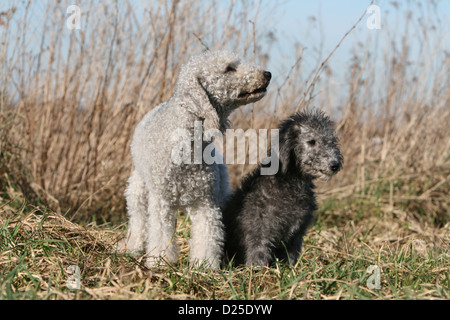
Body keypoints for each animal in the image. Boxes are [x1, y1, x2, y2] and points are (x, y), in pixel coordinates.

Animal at [117, 51, 270, 268]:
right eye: (229, 68)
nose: (267, 74)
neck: (187, 146)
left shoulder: (205, 202)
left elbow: (207, 235)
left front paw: (204, 266)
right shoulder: (161, 202)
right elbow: (160, 235)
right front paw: (160, 263)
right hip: (138, 191)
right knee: (138, 222)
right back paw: (130, 247)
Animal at [223, 109, 342, 266]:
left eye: (331, 141)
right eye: (311, 141)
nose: (335, 165)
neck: (290, 183)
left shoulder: (295, 238)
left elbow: (290, 258)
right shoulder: (259, 235)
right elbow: (258, 257)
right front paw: (258, 272)